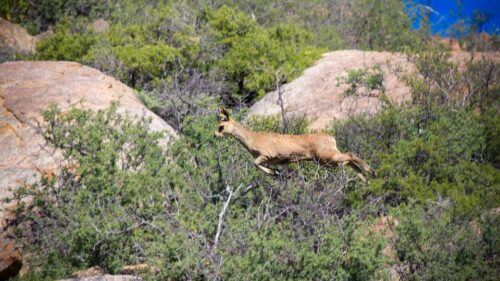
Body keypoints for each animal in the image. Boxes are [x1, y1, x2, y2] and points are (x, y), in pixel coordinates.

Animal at [215, 107, 376, 182]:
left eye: (221, 126)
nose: (215, 135)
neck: (252, 138)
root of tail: (331, 137)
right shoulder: (271, 160)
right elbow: (261, 165)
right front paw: (275, 172)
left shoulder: (267, 154)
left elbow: (255, 163)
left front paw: (273, 172)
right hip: (324, 160)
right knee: (349, 160)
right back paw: (365, 179)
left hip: (326, 156)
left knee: (350, 155)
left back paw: (370, 171)